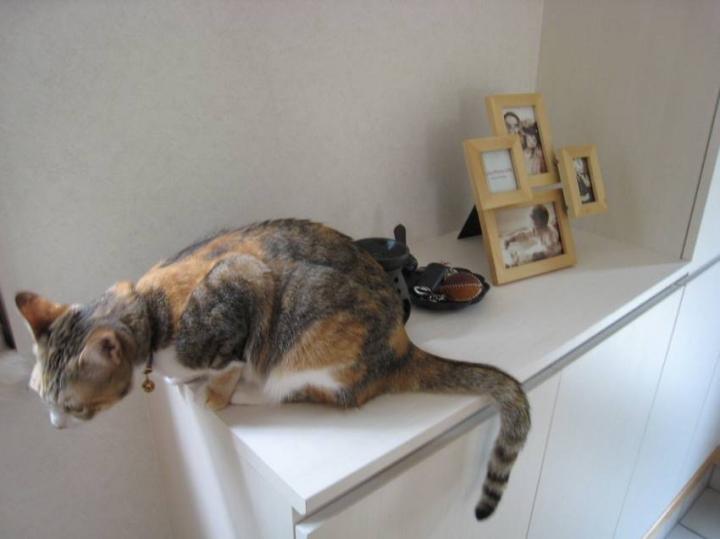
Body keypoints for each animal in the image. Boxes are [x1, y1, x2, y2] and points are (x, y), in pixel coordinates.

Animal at [15, 218, 530, 520]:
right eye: (42, 398)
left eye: (71, 406)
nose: (54, 424)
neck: (148, 311)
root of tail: (402, 345)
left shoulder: (240, 282)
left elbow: (226, 367)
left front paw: (210, 393)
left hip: (309, 339)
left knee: (321, 392)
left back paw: (251, 392)